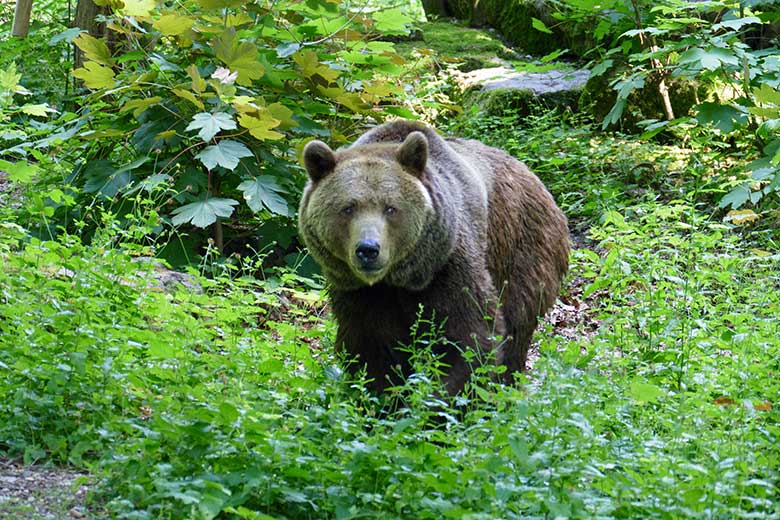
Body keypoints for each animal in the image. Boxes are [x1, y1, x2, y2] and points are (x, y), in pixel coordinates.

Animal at [298, 119, 568, 394]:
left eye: (390, 208)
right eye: (348, 208)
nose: (368, 249)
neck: (400, 279)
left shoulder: (449, 267)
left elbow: (469, 337)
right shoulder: (356, 290)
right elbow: (371, 346)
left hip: (521, 249)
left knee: (517, 322)